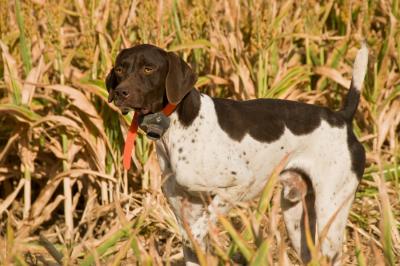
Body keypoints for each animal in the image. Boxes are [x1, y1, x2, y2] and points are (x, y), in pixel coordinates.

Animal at [106, 43, 368, 264]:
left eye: (148, 68)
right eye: (120, 68)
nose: (120, 93)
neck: (177, 126)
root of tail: (343, 119)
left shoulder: (238, 184)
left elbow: (197, 233)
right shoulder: (186, 211)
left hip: (330, 214)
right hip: (296, 219)